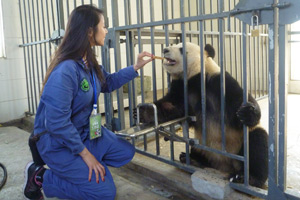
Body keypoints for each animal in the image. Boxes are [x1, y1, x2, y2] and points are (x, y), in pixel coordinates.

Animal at [139, 41, 270, 188]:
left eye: (182, 49)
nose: (165, 49)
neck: (194, 78)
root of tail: (223, 166)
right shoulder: (182, 88)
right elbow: (172, 106)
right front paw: (144, 112)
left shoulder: (218, 82)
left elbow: (240, 102)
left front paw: (248, 112)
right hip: (203, 144)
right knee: (197, 148)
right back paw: (193, 159)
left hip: (240, 145)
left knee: (257, 142)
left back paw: (248, 178)